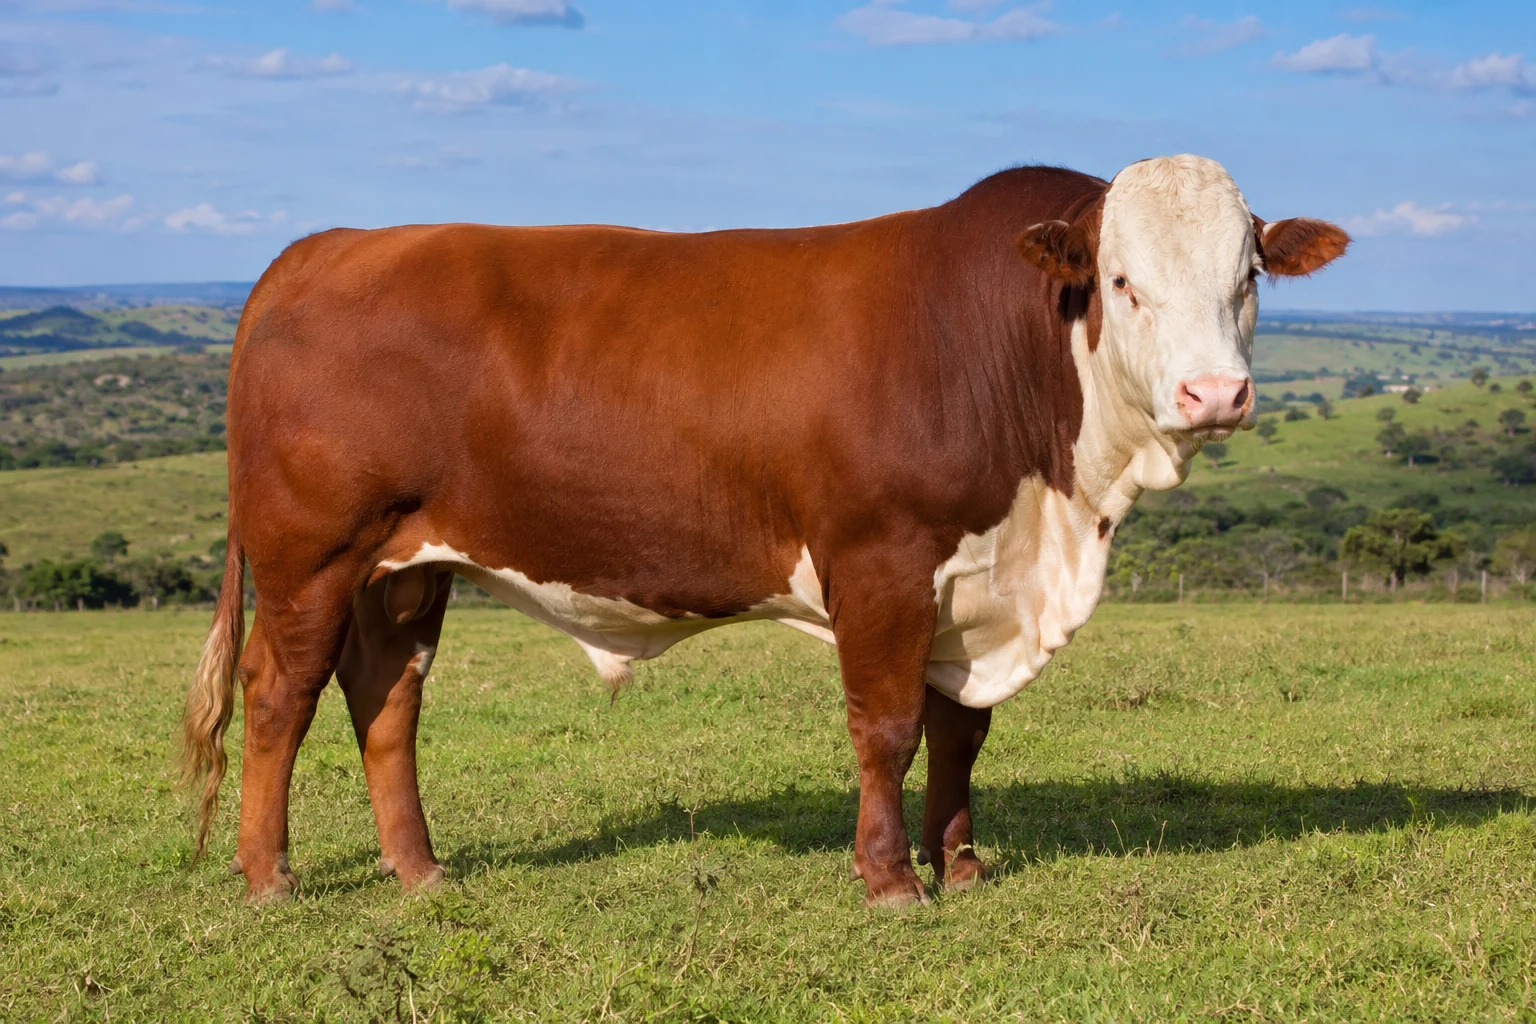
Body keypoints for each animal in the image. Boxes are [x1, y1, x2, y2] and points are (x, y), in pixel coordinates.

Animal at [181, 154, 1348, 906]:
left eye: (1247, 276)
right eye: (1121, 280)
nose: (1214, 394)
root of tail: (325, 247)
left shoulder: (970, 582)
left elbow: (960, 732)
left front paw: (963, 866)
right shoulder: (879, 560)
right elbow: (887, 727)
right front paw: (890, 880)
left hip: (406, 567)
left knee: (388, 699)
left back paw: (422, 872)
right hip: (314, 554)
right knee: (280, 695)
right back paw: (270, 878)